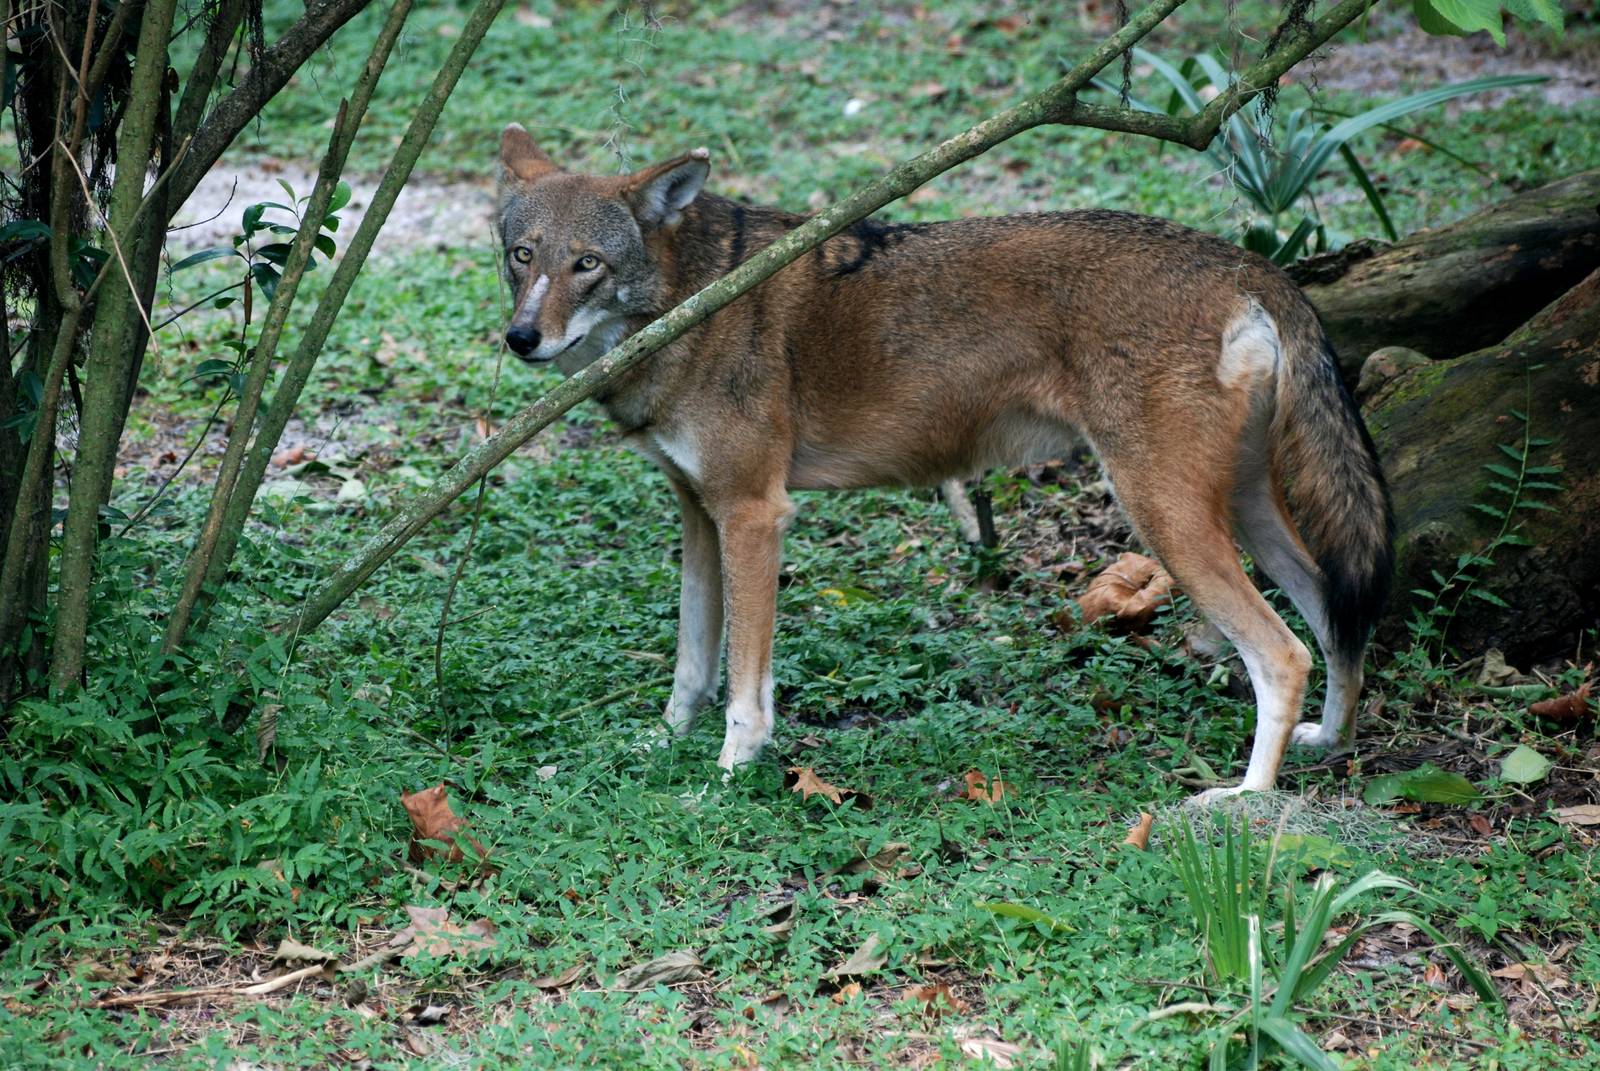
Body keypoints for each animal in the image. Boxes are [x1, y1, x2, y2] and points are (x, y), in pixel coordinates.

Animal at [494, 123, 1393, 800]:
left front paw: (723, 779)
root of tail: (1249, 263)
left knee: (1283, 652)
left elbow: (744, 691)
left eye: (588, 263)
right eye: (522, 255)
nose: (521, 337)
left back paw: (1244, 804)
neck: (693, 299)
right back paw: (1327, 741)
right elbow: (691, 665)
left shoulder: (753, 513)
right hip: (1240, 511)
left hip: (1166, 516)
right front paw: (658, 747)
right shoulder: (697, 511)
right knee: (1337, 619)